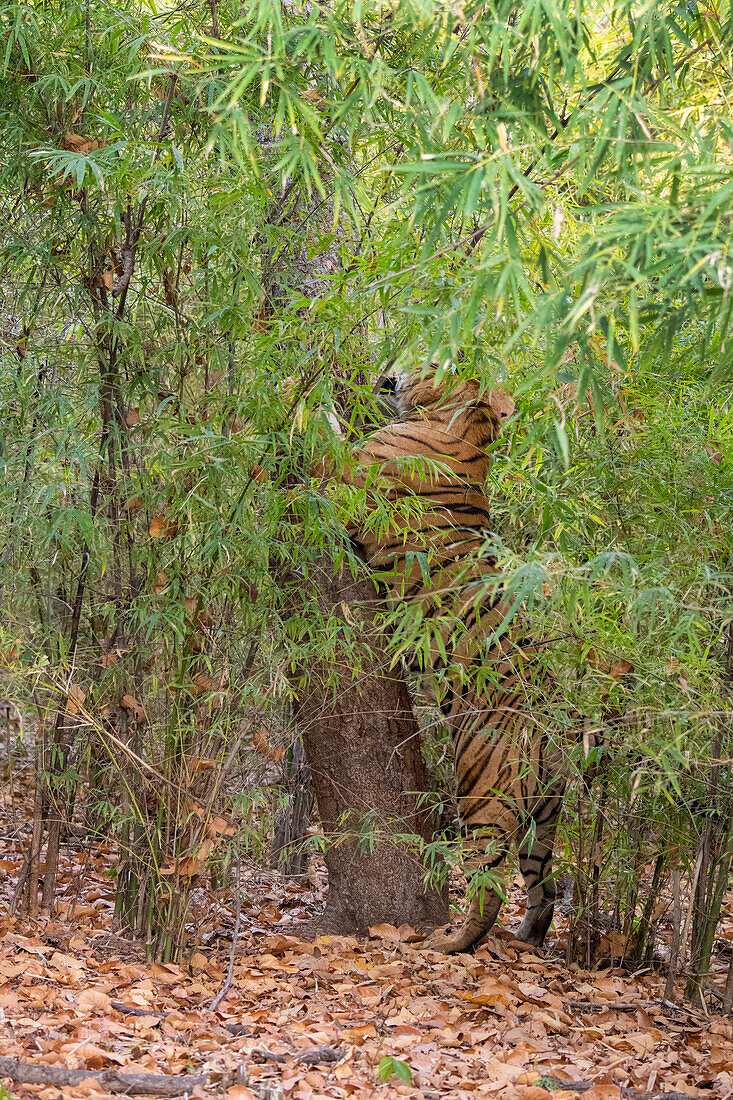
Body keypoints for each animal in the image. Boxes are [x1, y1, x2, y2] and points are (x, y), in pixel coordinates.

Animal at [316, 369, 561, 954]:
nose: (386, 371)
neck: (466, 424)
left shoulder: (351, 477)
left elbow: (324, 440)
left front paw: (301, 390)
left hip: (482, 798)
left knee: (487, 887)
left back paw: (447, 944)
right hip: (542, 821)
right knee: (545, 887)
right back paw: (527, 940)